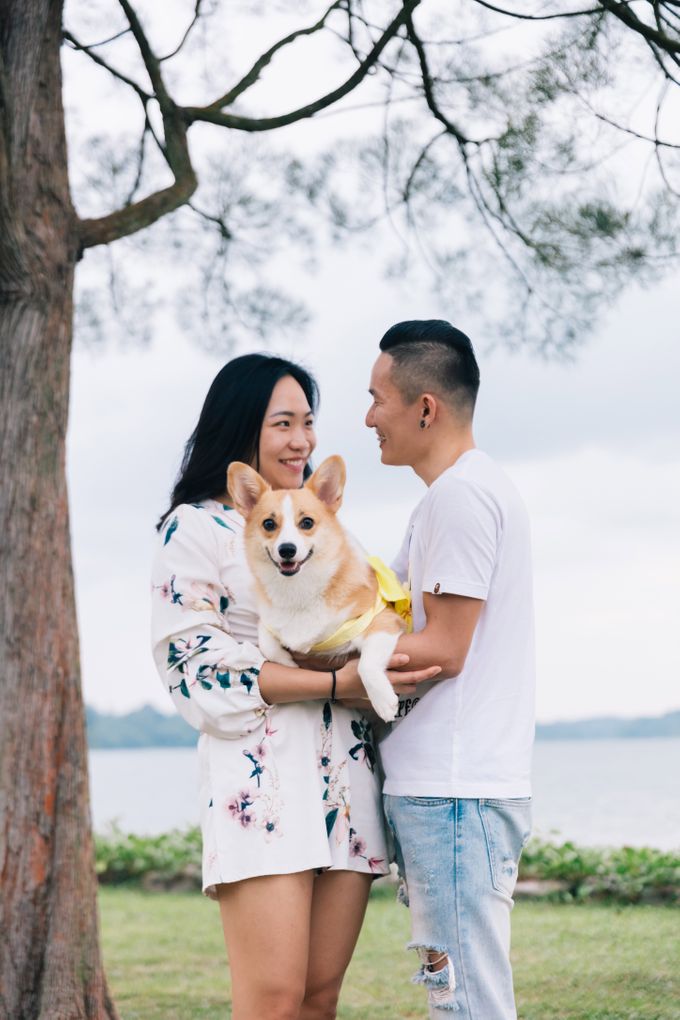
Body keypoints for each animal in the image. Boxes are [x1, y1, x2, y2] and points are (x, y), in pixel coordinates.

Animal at [228, 454, 409, 726]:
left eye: (307, 523)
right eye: (269, 524)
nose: (287, 549)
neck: (299, 591)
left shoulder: (383, 621)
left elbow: (366, 665)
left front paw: (384, 702)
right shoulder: (270, 620)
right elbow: (266, 640)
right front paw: (287, 663)